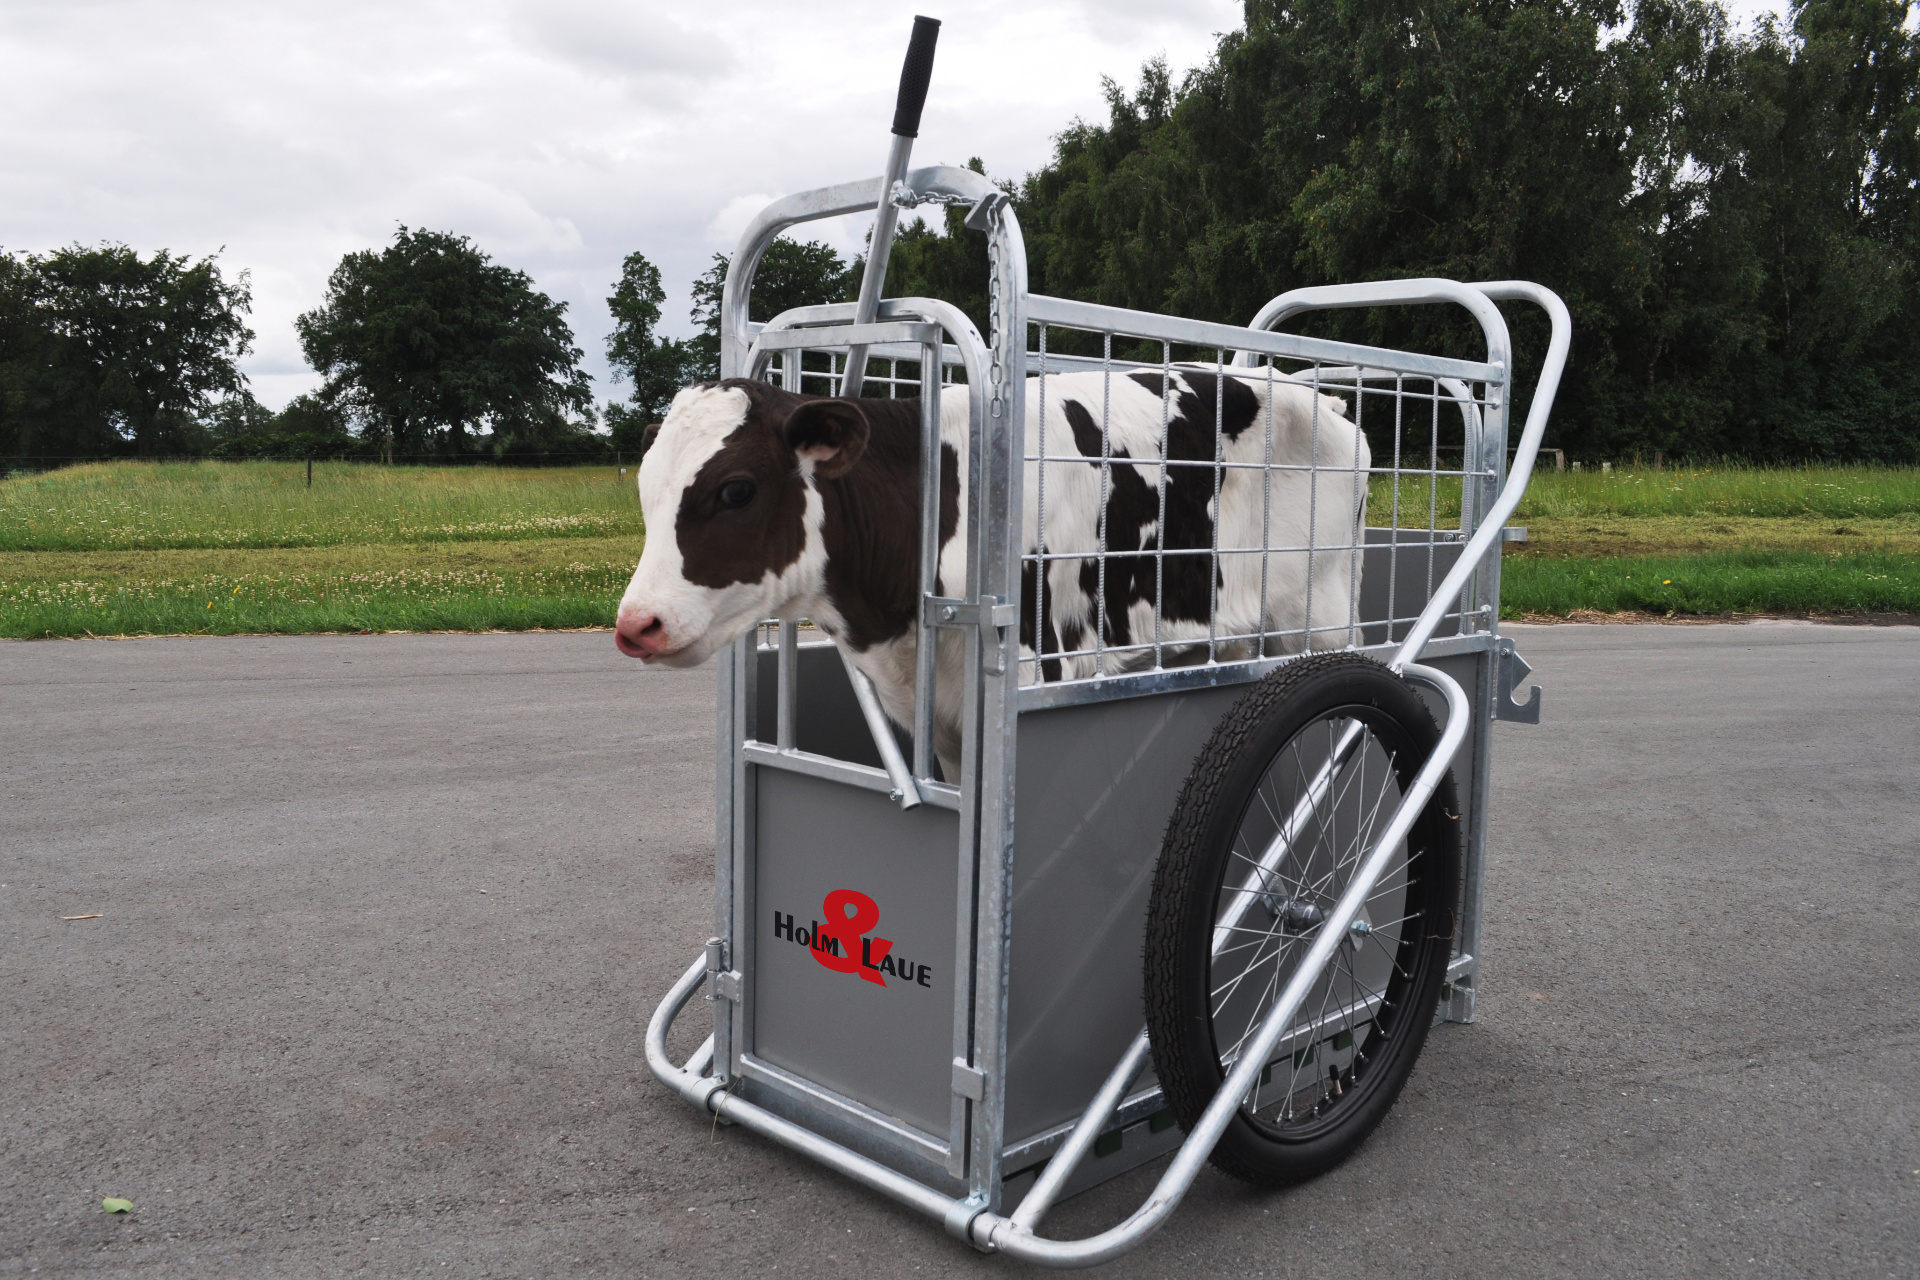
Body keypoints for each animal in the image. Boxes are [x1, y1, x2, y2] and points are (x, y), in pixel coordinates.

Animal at [614, 370, 1367, 782]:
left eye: (736, 490)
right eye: (644, 489)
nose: (635, 625)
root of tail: (1321, 400)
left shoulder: (1038, 670)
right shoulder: (944, 722)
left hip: (1321, 617)